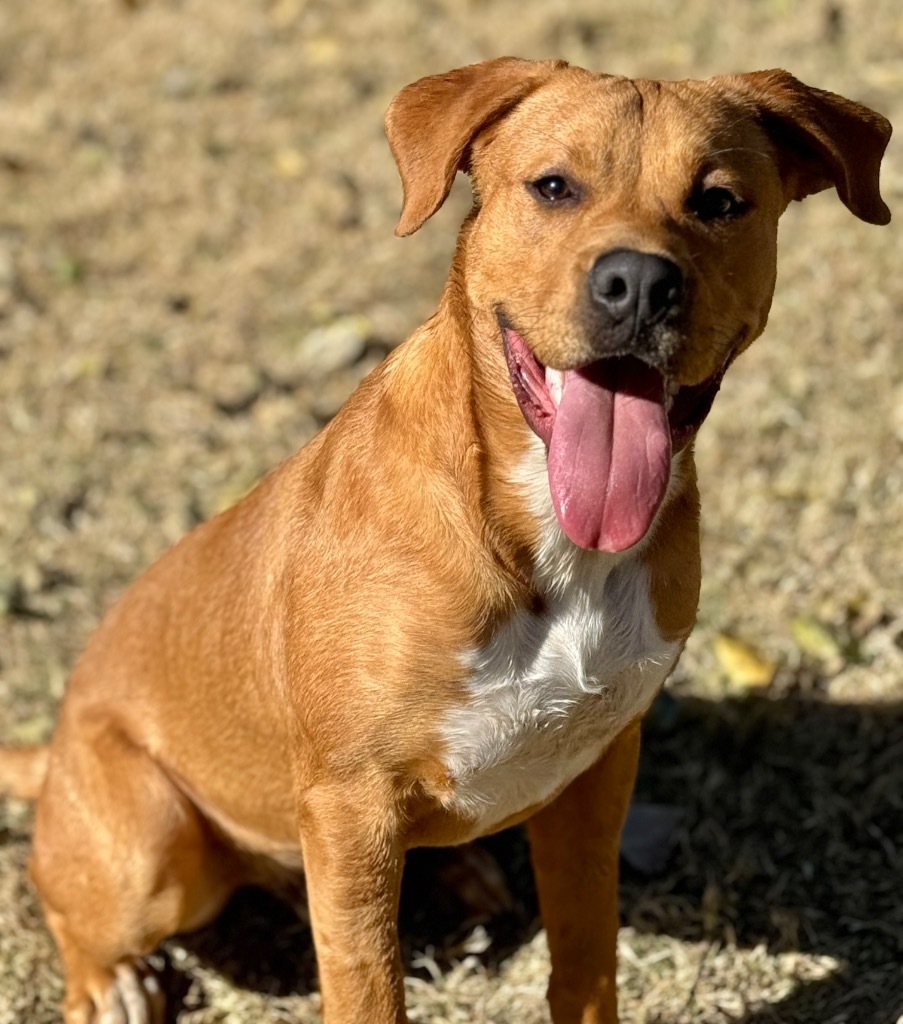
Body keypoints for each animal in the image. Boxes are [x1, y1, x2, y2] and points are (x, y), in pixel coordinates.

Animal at [0, 58, 888, 1024]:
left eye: (719, 201)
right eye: (553, 186)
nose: (638, 284)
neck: (546, 539)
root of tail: (54, 748)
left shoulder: (595, 775)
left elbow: (586, 960)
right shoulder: (348, 810)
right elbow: (368, 991)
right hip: (153, 851)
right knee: (73, 900)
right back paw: (111, 980)